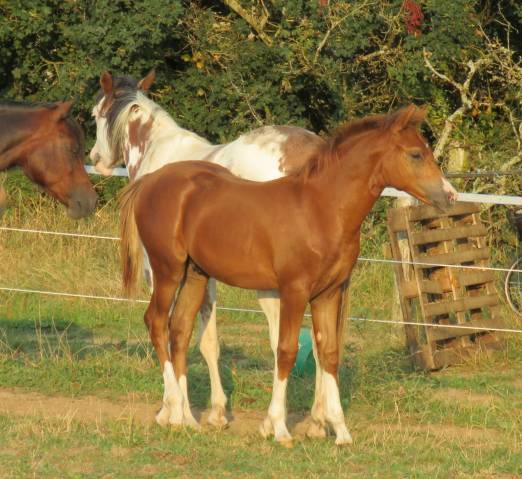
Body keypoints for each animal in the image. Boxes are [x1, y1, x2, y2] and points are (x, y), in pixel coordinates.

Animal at [90, 70, 324, 428]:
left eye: (95, 114)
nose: (95, 158)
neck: (157, 152)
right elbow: (200, 338)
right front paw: (213, 411)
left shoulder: (163, 272)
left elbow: (180, 333)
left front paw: (176, 409)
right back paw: (318, 418)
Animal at [118, 105, 456, 446]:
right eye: (415, 154)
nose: (449, 196)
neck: (320, 209)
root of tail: (149, 181)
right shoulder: (294, 290)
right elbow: (286, 350)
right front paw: (279, 427)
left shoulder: (328, 294)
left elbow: (329, 352)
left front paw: (340, 430)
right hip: (167, 270)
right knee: (156, 322)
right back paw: (173, 410)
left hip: (195, 274)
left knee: (180, 329)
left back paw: (186, 418)